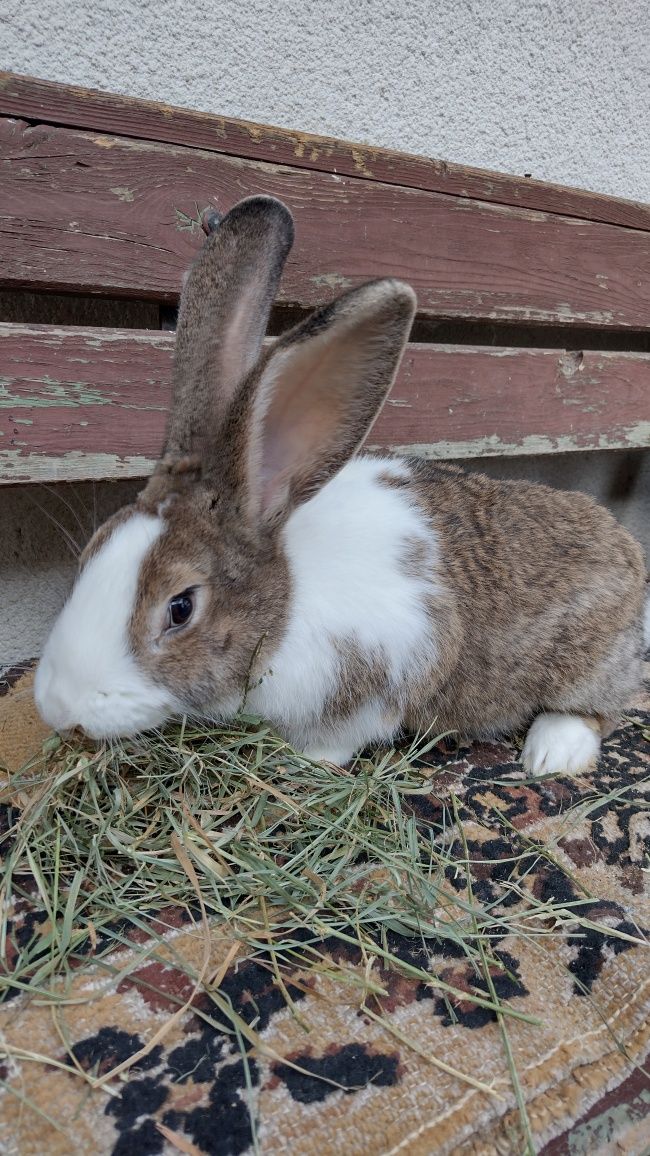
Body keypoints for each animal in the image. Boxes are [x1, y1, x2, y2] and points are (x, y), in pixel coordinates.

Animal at [35, 196, 647, 776]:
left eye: (181, 608)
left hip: (588, 661)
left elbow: (343, 737)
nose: (60, 709)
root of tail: (627, 548)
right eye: (89, 555)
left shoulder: (379, 676)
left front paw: (304, 764)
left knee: (600, 706)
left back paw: (550, 755)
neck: (287, 604)